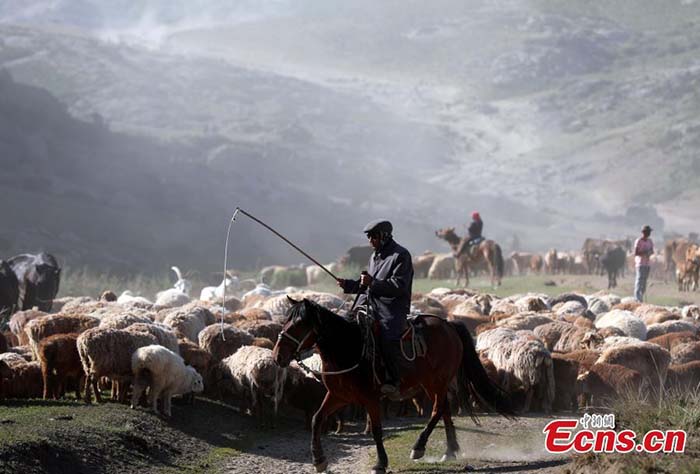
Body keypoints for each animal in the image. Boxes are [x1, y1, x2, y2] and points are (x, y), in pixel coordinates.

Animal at [274, 298, 516, 472]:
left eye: (298, 324)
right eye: (285, 320)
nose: (278, 356)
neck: (349, 348)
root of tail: (448, 324)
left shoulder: (370, 398)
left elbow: (377, 430)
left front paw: (380, 463)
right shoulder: (338, 396)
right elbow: (317, 419)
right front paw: (319, 460)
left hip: (437, 381)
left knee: (438, 409)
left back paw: (419, 447)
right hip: (430, 384)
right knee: (444, 409)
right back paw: (449, 450)